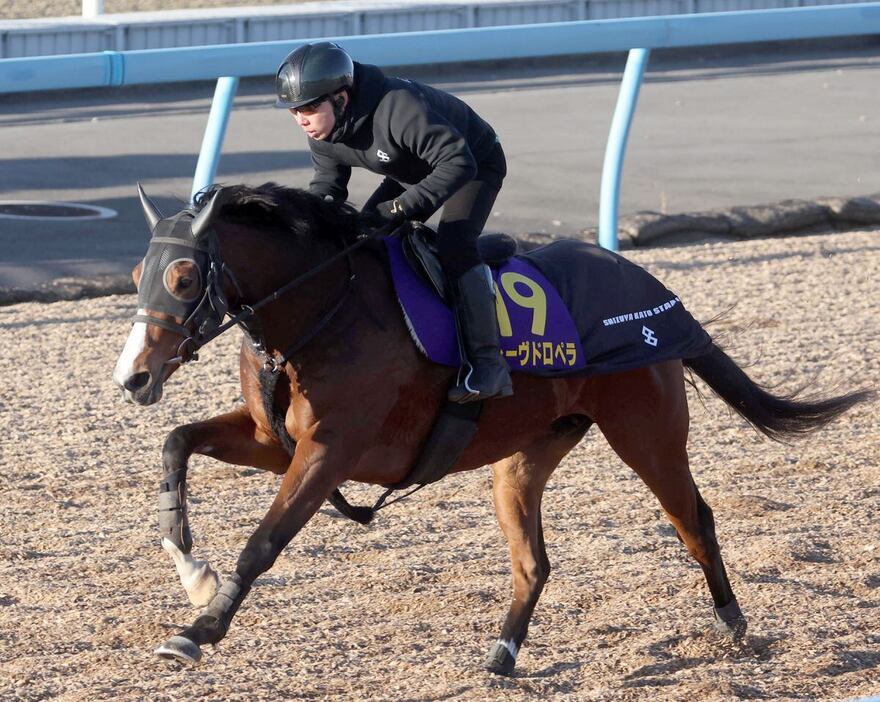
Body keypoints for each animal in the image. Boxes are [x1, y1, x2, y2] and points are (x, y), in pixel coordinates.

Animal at [113, 183, 868, 676]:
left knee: (694, 520)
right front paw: (189, 566)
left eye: (184, 278)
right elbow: (177, 440)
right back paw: (502, 654)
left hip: (647, 432)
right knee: (534, 561)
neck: (323, 309)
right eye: (137, 272)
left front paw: (199, 628)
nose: (134, 376)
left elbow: (263, 543)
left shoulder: (332, 452)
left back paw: (732, 623)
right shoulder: (279, 441)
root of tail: (653, 288)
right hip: (525, 456)